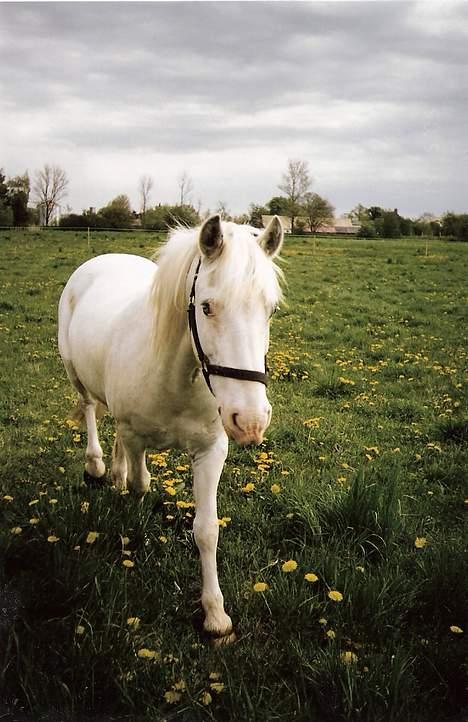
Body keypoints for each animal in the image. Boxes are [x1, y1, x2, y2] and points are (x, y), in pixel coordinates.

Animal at [58, 212, 286, 636]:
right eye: (208, 307)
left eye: (272, 309)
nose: (249, 421)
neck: (176, 375)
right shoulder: (136, 438)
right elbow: (140, 485)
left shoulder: (211, 451)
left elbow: (207, 529)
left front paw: (215, 615)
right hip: (74, 373)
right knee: (91, 409)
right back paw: (96, 465)